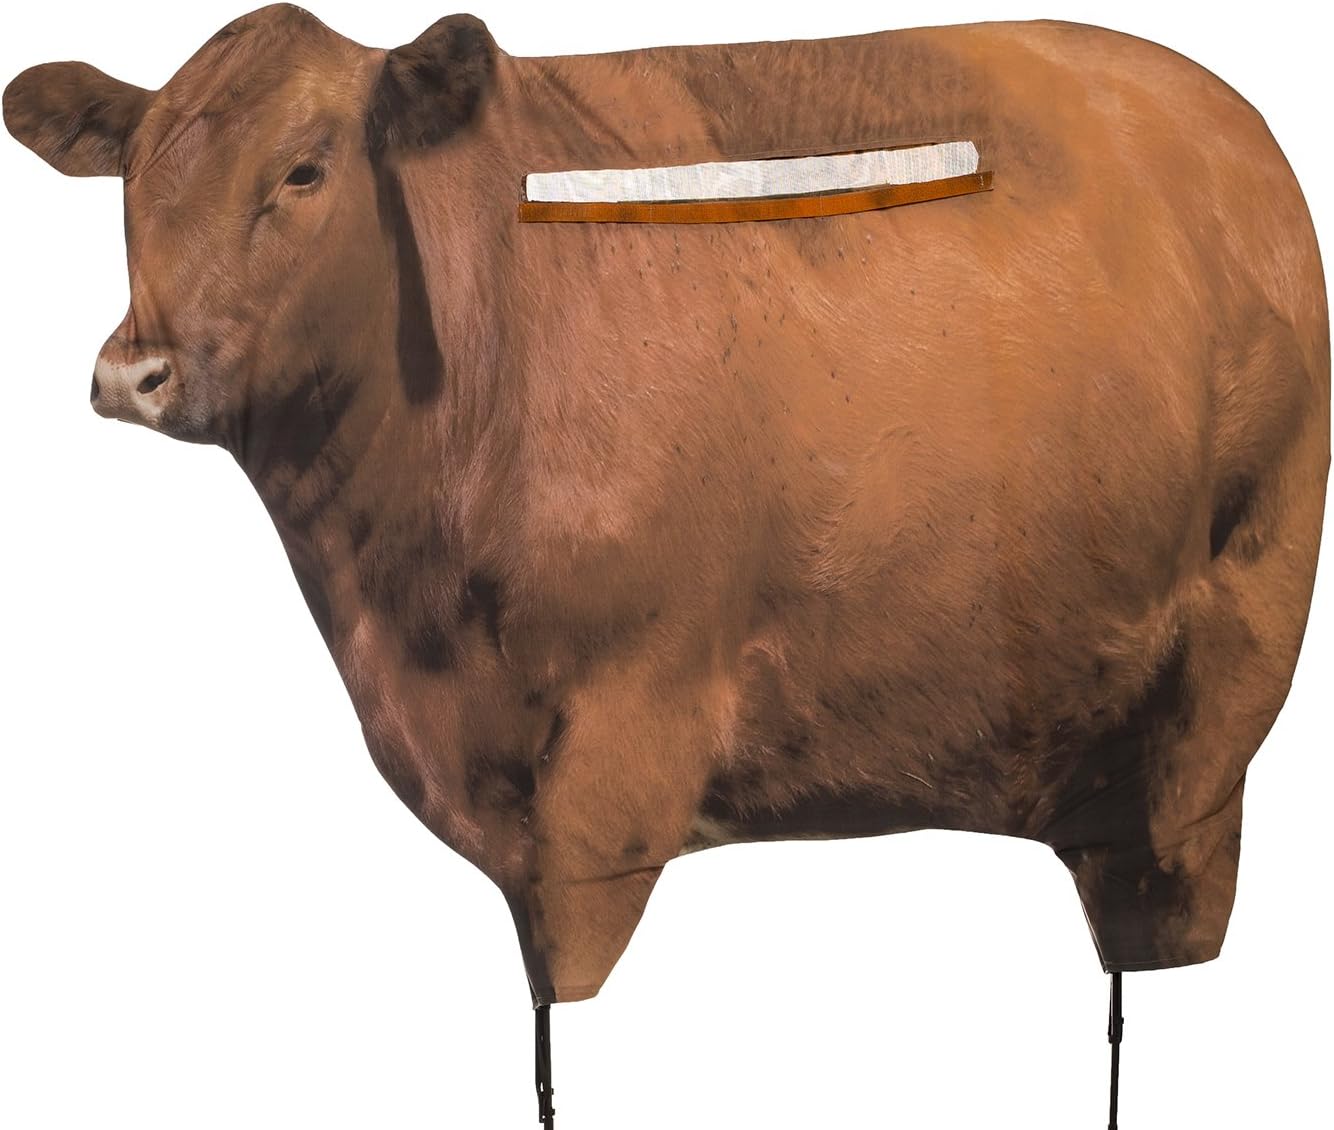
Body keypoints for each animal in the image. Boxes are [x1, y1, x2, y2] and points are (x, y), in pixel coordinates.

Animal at [4, 5, 1329, 1125]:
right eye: (132, 177)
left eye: (303, 170)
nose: (134, 369)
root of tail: (1231, 127)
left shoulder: (627, 737)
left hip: (1228, 664)